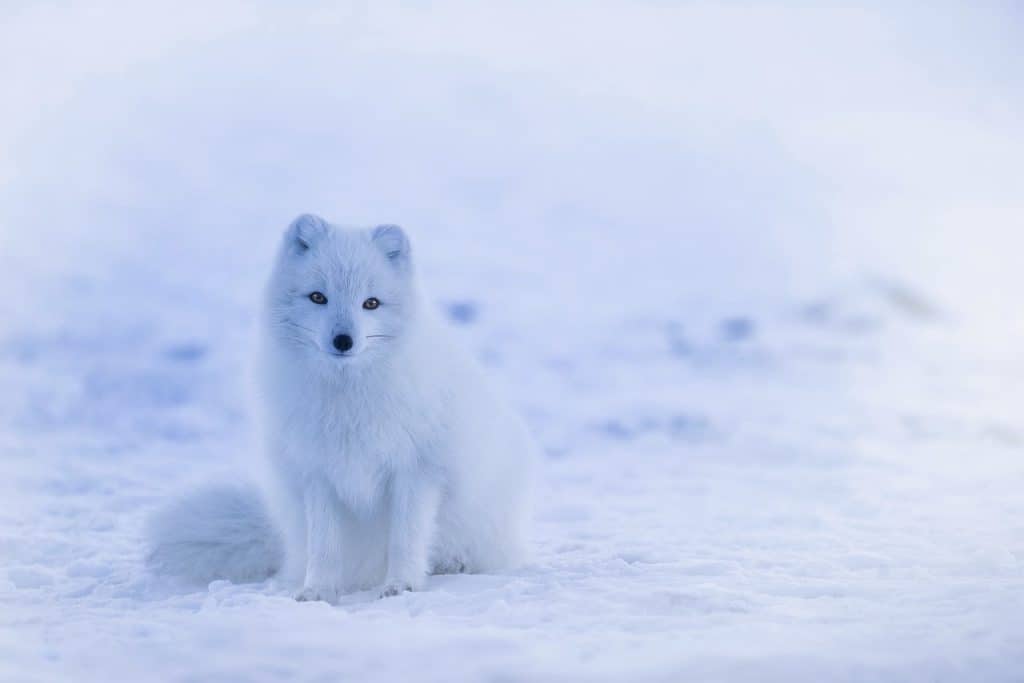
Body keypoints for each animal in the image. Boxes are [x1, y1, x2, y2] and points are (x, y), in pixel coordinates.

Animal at [149, 216, 544, 602]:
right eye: (318, 297)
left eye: (371, 303)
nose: (343, 340)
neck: (347, 398)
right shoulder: (317, 472)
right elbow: (324, 546)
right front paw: (318, 591)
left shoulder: (416, 470)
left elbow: (406, 538)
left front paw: (401, 586)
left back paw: (453, 564)